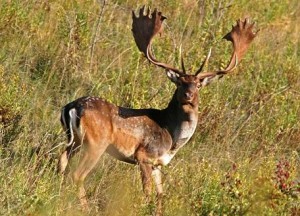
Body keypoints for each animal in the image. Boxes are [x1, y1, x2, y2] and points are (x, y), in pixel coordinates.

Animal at [58, 5, 258, 215]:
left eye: (198, 85)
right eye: (180, 82)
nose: (188, 95)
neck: (173, 139)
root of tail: (71, 107)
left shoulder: (158, 164)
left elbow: (161, 195)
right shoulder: (144, 156)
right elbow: (147, 193)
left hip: (75, 140)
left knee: (62, 163)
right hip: (96, 142)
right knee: (77, 174)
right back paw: (85, 208)